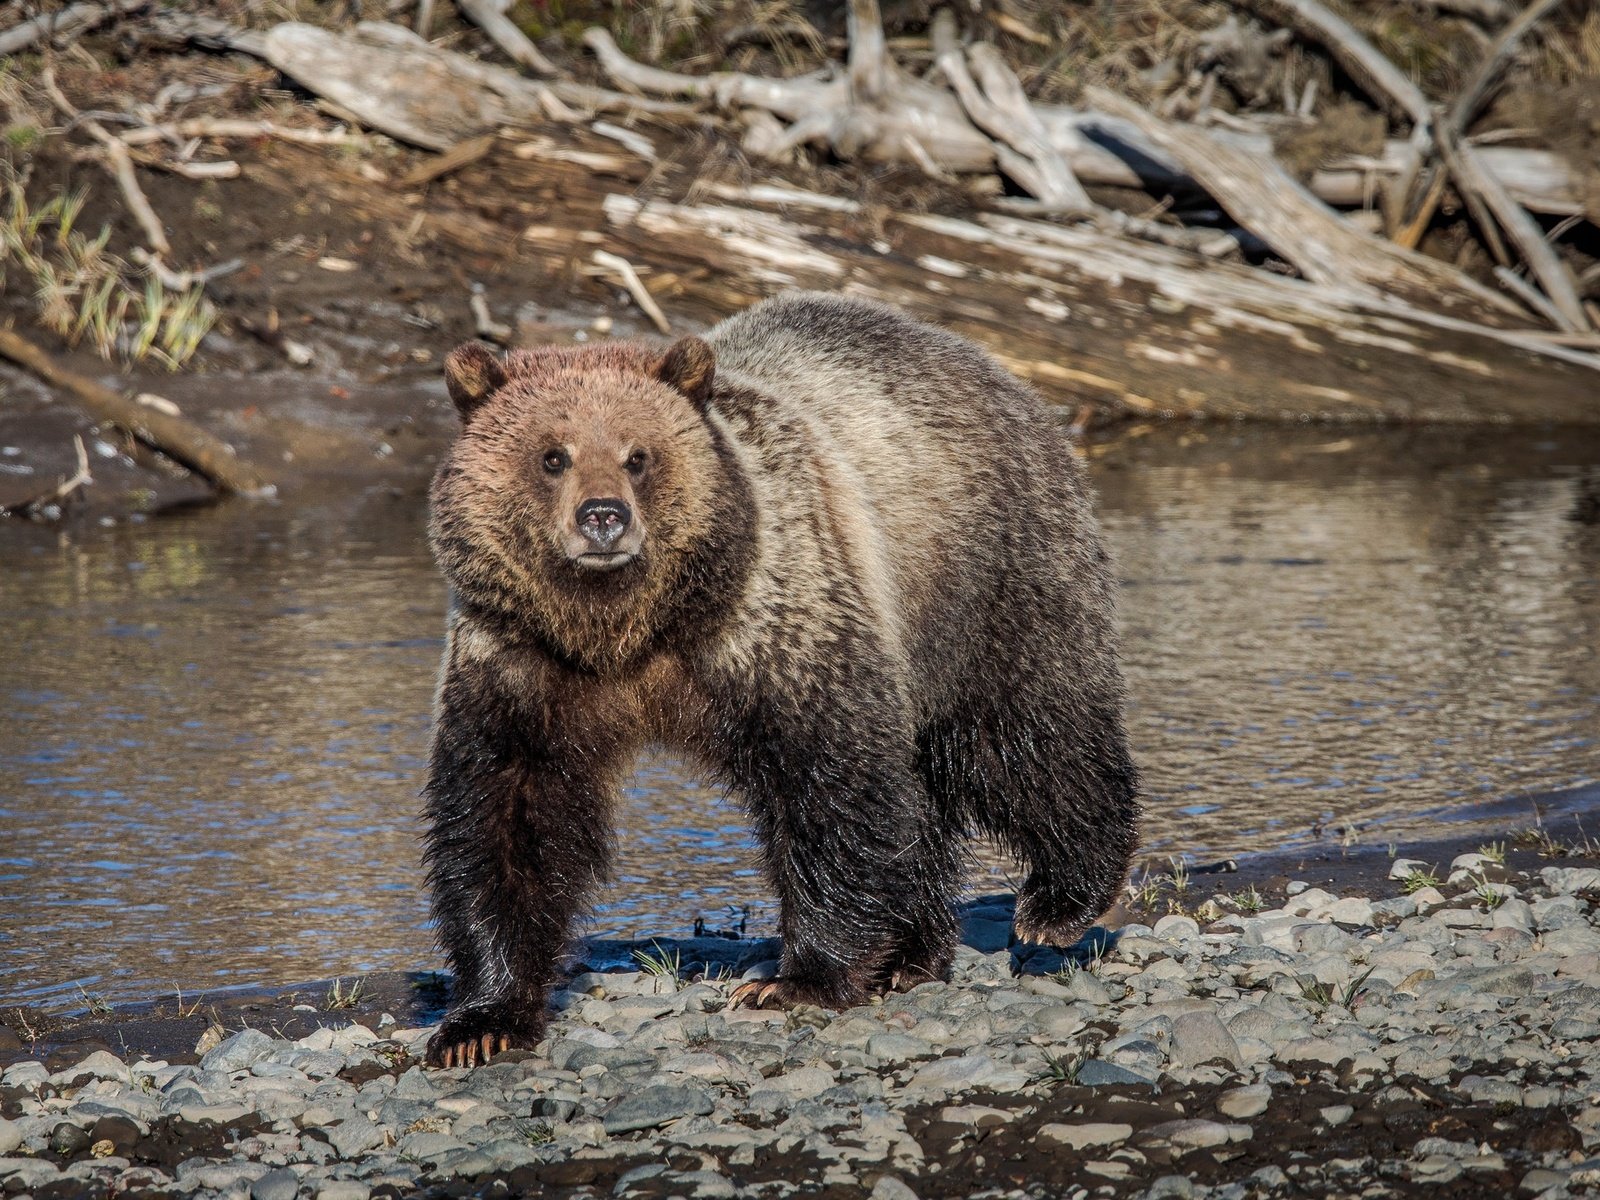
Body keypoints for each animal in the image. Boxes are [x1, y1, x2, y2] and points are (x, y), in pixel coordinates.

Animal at [419, 294, 1132, 1068]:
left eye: (639, 456)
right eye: (553, 455)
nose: (603, 517)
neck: (625, 630)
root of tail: (988, 364)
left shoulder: (774, 617)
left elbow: (830, 781)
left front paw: (794, 980)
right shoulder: (520, 666)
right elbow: (505, 818)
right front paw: (481, 1022)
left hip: (980, 578)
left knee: (1024, 734)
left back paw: (1060, 900)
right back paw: (914, 954)